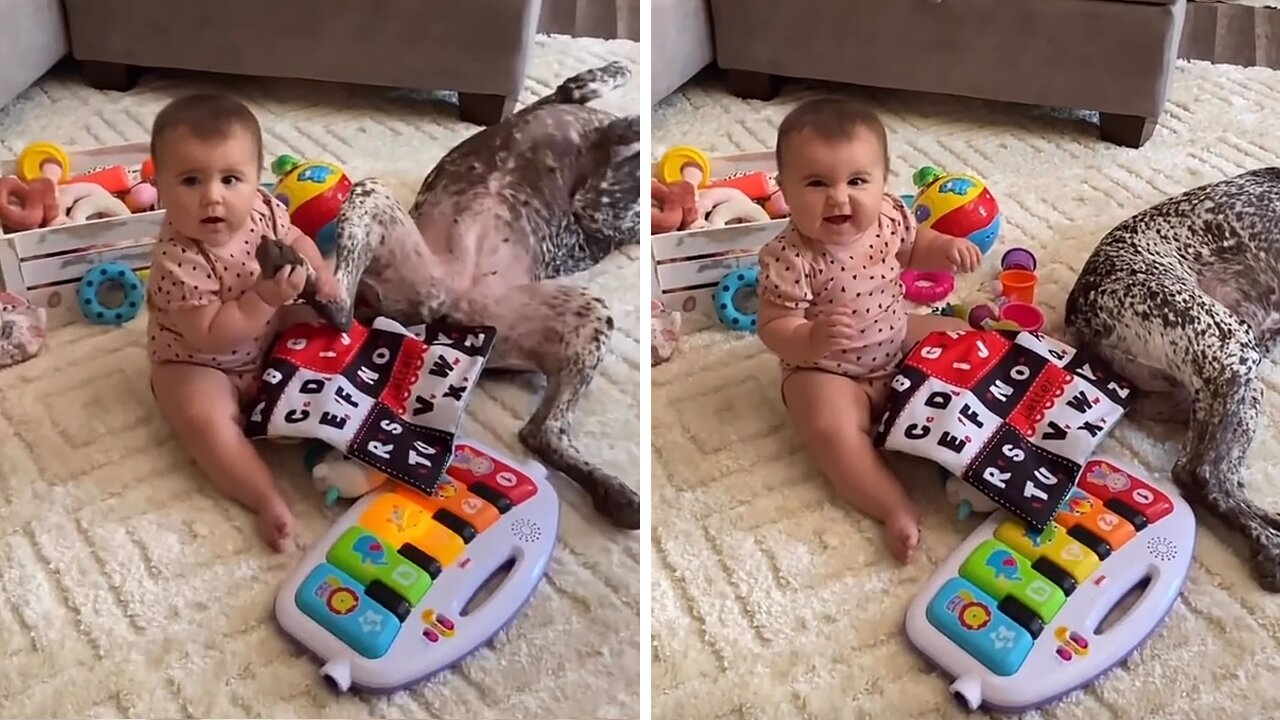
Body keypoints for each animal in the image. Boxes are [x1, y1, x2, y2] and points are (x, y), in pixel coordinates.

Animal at [311, 63, 640, 527]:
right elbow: (608, 89)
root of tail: (448, 309)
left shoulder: (601, 210)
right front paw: (628, 117)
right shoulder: (598, 203)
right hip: (377, 204)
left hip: (581, 313)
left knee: (541, 432)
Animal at [1064, 166, 1280, 589]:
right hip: (1232, 346)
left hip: (1237, 387)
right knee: (1200, 475)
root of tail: (1081, 313)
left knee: (1221, 479)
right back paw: (1270, 548)